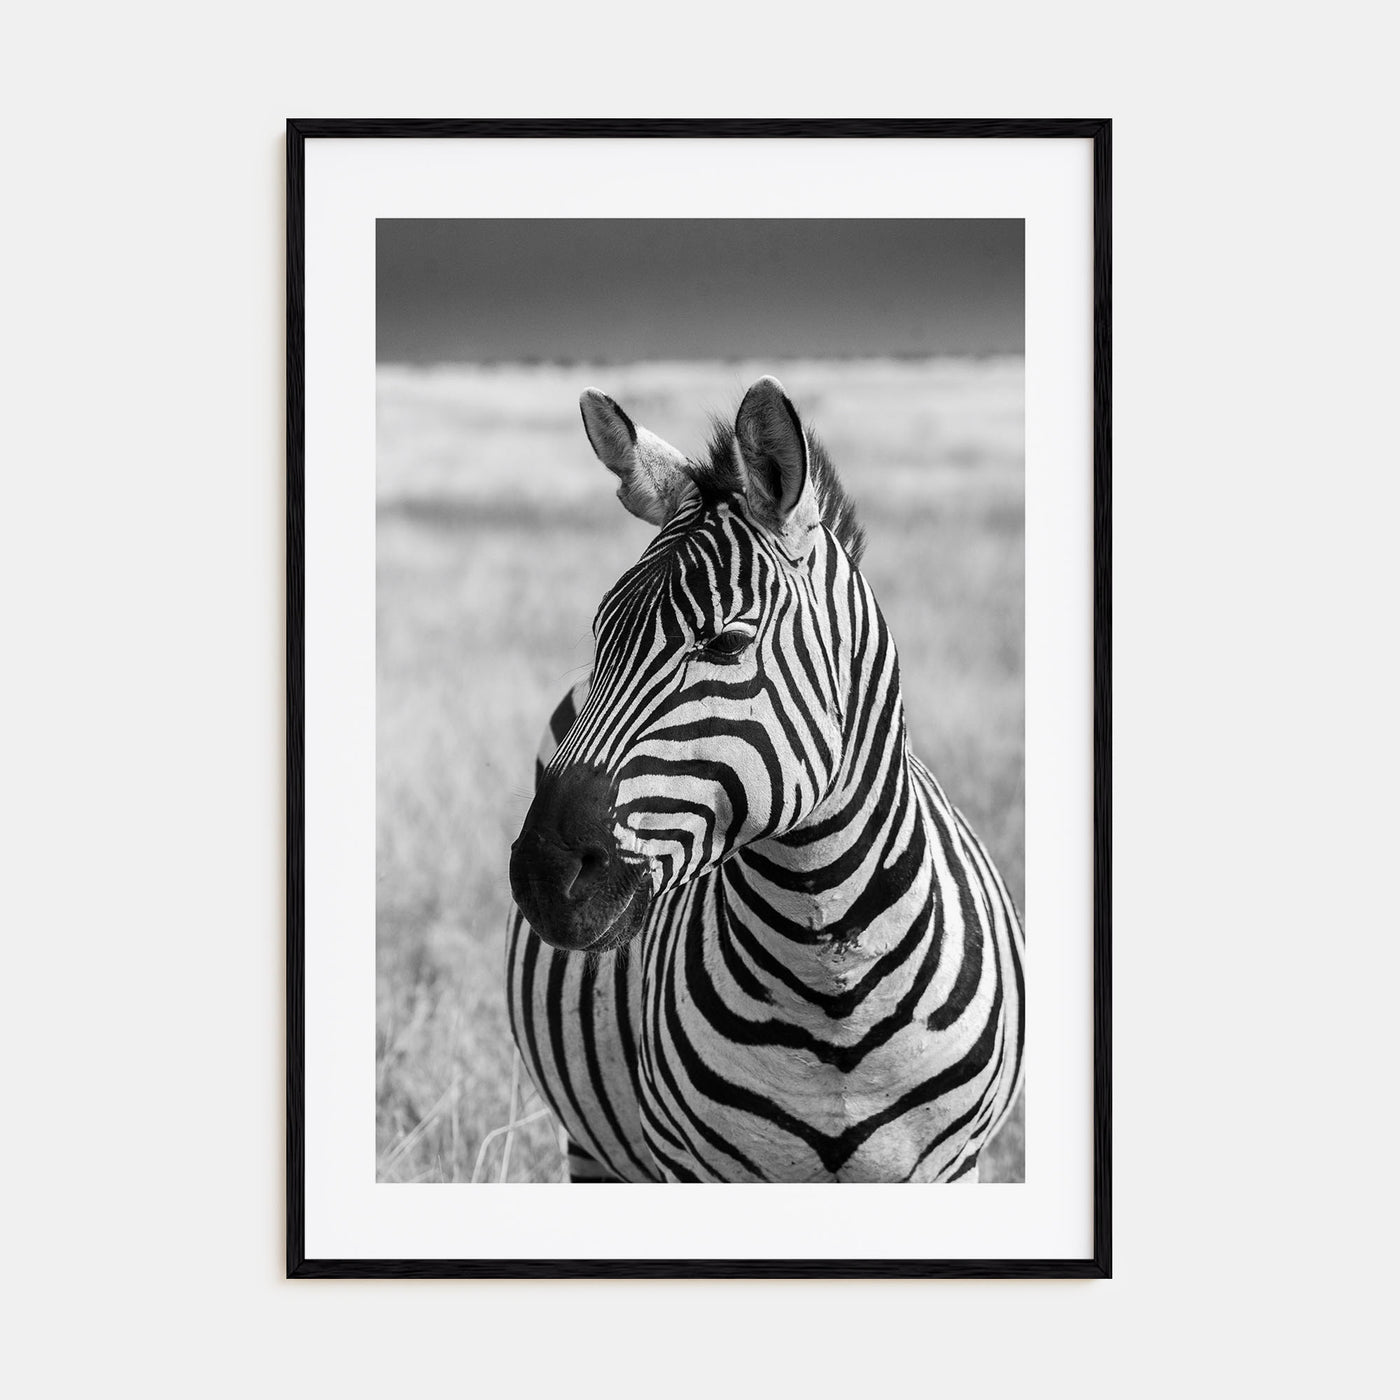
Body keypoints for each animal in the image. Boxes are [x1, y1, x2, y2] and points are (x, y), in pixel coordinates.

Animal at [506, 376, 1024, 1183]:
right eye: (599, 637)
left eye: (725, 642)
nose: (542, 874)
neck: (832, 982)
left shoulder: (954, 1165)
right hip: (592, 1147)